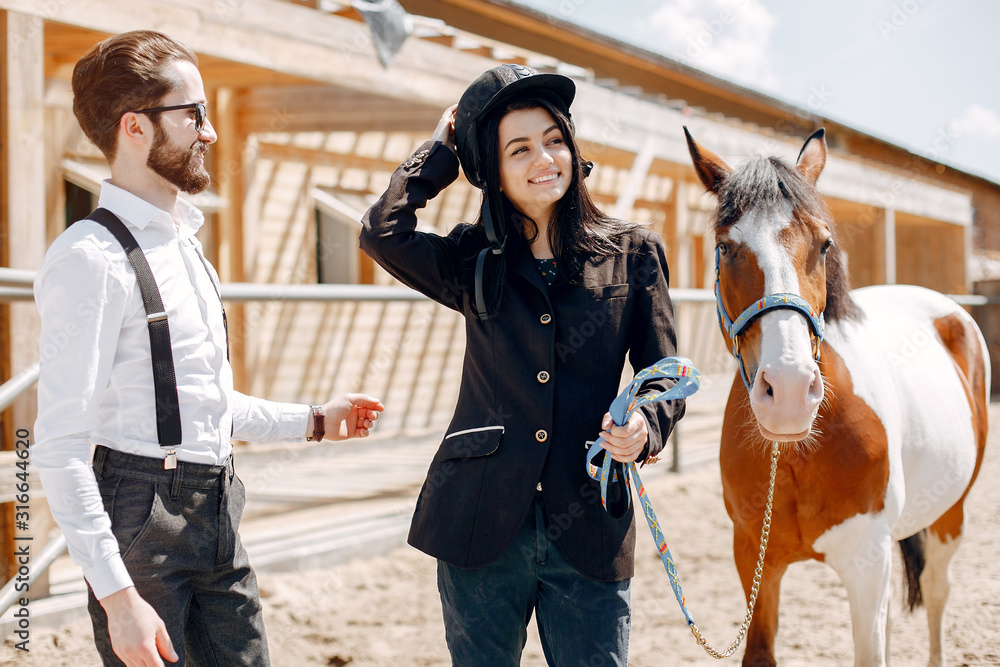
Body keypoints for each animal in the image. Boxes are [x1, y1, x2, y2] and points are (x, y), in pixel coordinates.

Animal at [684, 126, 988, 667]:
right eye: (724, 249)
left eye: (824, 245)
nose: (787, 392)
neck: (795, 456)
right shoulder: (754, 560)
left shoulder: (866, 560)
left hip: (949, 514)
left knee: (936, 591)